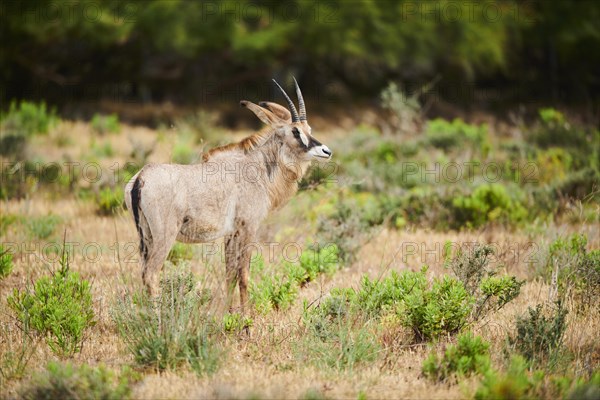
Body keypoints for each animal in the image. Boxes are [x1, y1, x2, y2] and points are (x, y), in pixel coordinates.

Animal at [123, 79, 332, 312]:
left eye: (309, 129)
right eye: (295, 131)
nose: (326, 151)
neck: (257, 168)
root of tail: (141, 177)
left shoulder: (230, 233)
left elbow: (229, 274)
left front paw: (228, 313)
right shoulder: (249, 227)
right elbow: (244, 274)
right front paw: (246, 317)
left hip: (146, 236)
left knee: (144, 273)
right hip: (164, 236)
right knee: (151, 274)